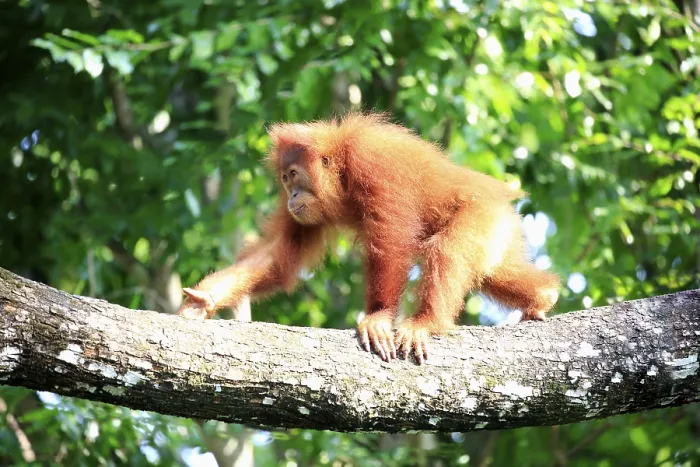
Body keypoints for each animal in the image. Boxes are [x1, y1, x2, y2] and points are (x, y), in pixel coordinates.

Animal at [177, 112, 559, 364]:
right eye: (285, 180)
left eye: (293, 175)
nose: (291, 196)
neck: (343, 166)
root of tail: (503, 199)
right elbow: (278, 255)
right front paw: (204, 299)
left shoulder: (373, 161)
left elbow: (393, 235)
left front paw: (378, 317)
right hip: (496, 230)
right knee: (492, 271)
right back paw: (543, 295)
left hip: (481, 214)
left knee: (448, 250)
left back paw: (427, 323)